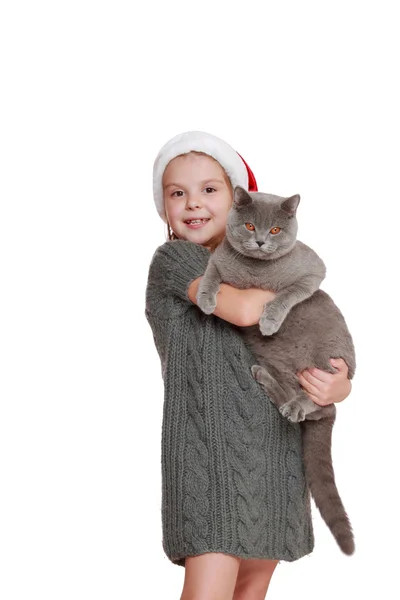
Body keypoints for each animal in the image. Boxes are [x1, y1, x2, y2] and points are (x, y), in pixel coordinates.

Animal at [197, 185, 356, 556]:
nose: (259, 242)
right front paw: (206, 299)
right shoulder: (219, 261)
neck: (255, 273)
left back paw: (295, 404)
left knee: (325, 404)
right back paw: (270, 386)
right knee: (305, 402)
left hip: (328, 358)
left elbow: (289, 293)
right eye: (250, 226)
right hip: (277, 361)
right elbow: (210, 272)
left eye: (274, 230)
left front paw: (269, 319)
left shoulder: (313, 271)